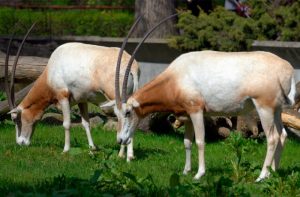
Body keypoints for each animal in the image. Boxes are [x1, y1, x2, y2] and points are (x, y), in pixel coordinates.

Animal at [5, 24, 139, 160]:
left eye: (14, 119)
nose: (20, 142)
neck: (51, 69)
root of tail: (133, 66)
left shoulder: (63, 97)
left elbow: (66, 124)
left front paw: (65, 150)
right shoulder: (82, 100)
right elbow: (86, 123)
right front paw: (92, 148)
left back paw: (122, 154)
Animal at [112, 16, 296, 182]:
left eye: (128, 112)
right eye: (117, 114)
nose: (120, 139)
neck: (176, 77)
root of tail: (288, 69)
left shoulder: (196, 111)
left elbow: (200, 141)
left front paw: (199, 174)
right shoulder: (186, 115)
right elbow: (187, 142)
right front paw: (186, 171)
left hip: (264, 108)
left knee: (272, 138)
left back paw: (262, 177)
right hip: (277, 109)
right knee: (283, 135)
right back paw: (273, 173)